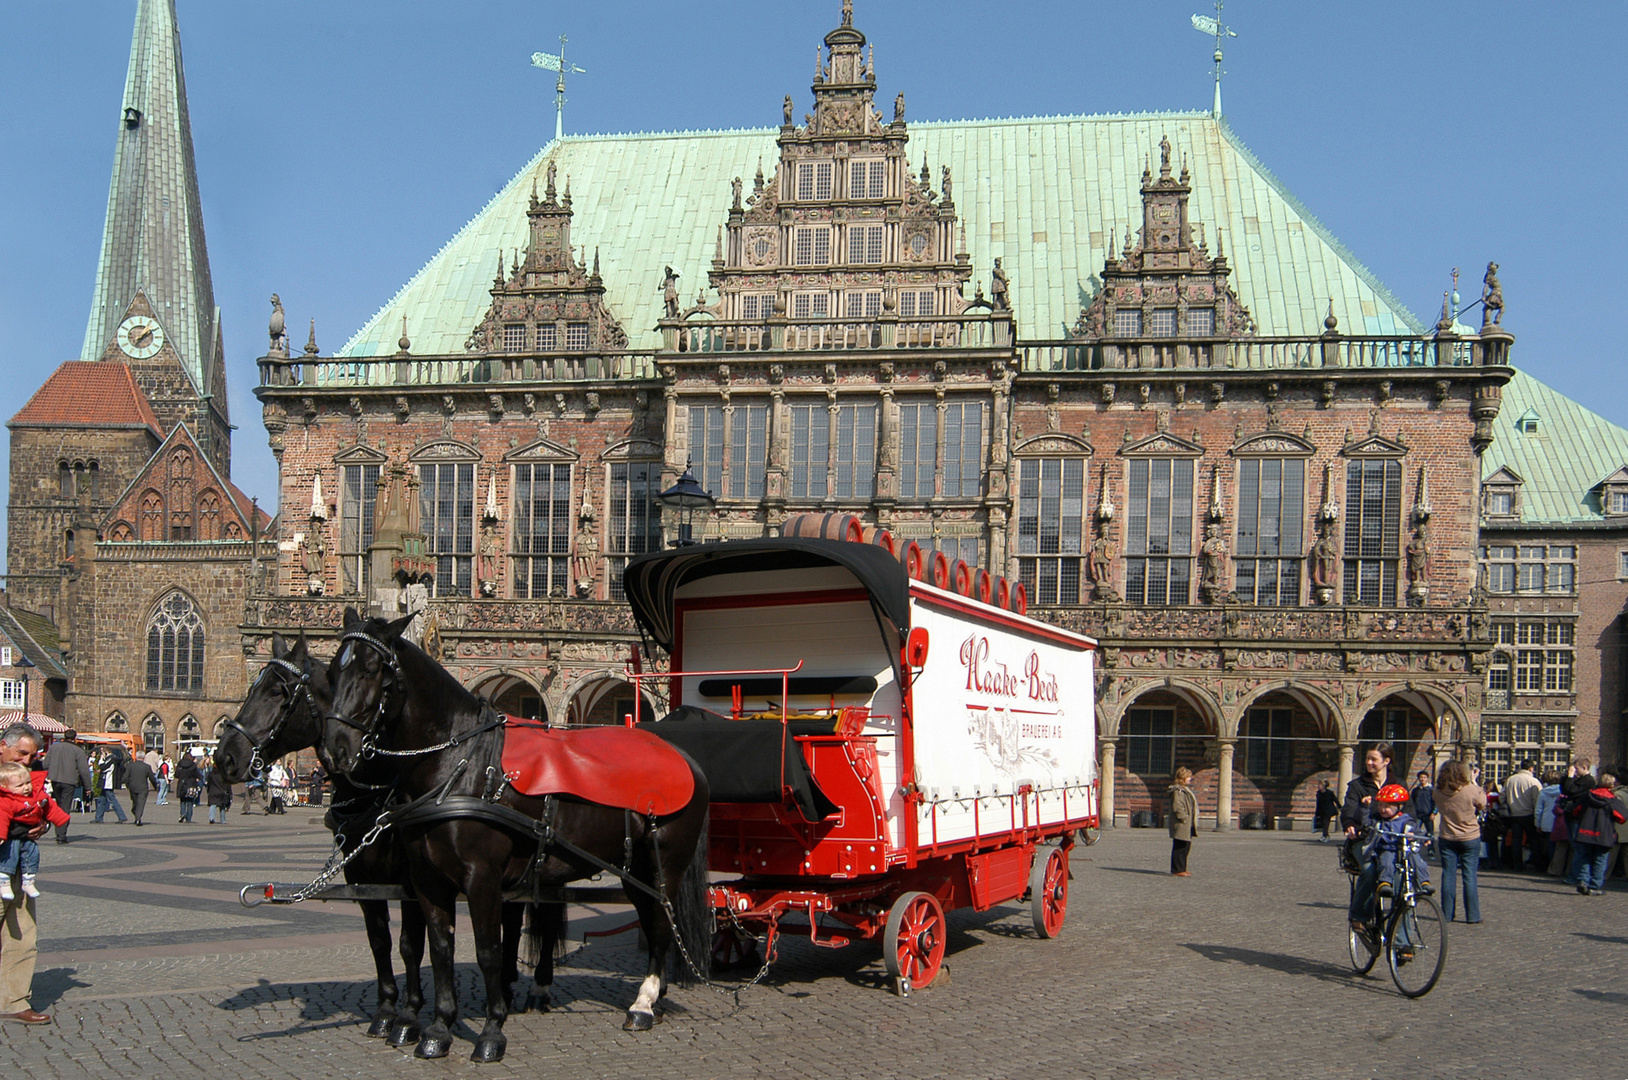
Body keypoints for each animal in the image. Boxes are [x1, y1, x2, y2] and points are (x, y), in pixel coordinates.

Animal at [323, 612, 713, 1062]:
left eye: (374, 670)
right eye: (333, 671)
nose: (335, 749)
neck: (461, 762)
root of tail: (687, 760)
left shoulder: (482, 876)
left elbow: (489, 951)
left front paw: (492, 1031)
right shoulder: (425, 879)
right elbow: (439, 949)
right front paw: (437, 1030)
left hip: (667, 863)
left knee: (663, 924)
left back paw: (644, 1005)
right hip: (635, 868)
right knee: (652, 921)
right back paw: (654, 998)